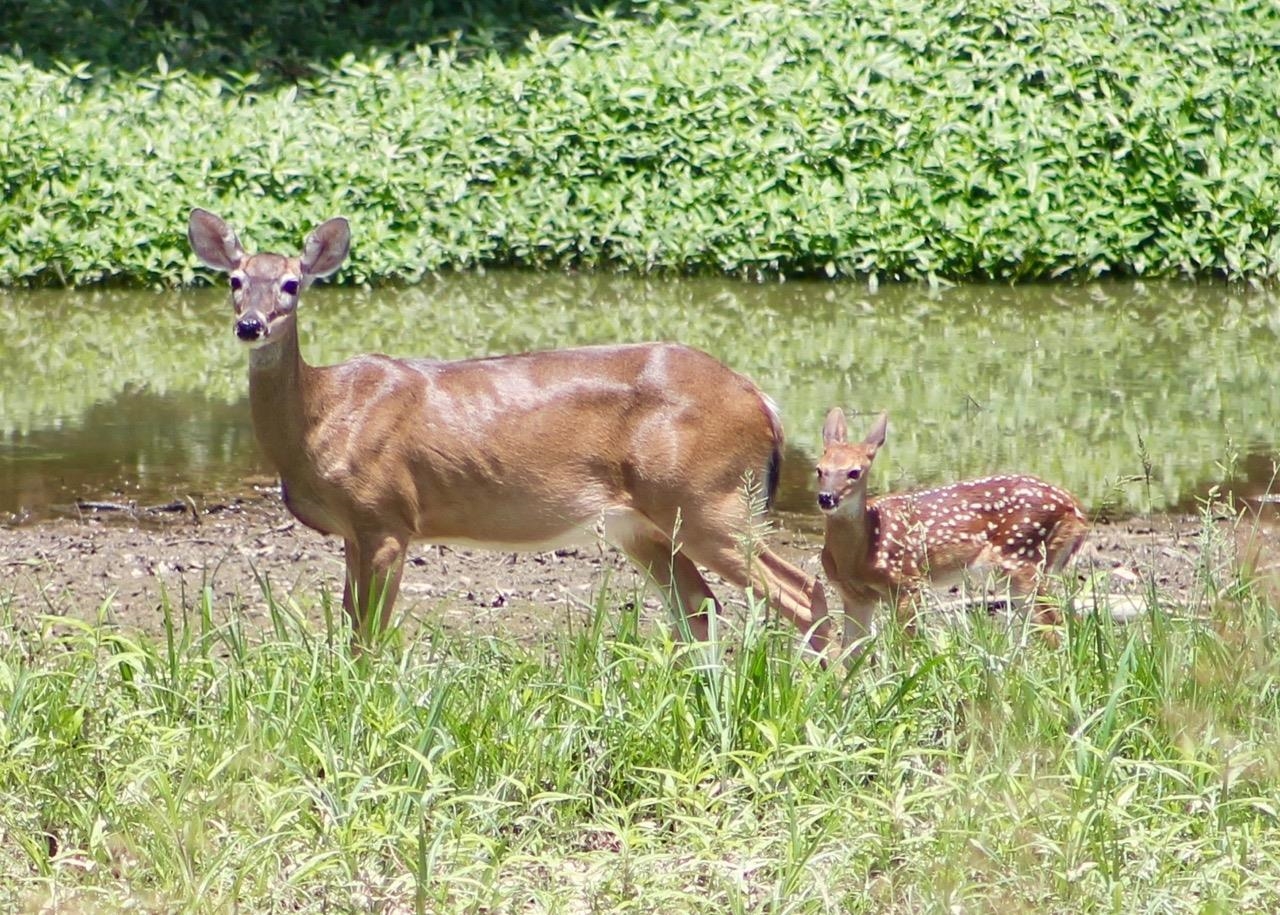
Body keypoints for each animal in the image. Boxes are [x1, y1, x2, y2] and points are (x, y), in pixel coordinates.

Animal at [186, 209, 829, 652]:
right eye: (235, 280)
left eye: (292, 284)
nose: (250, 326)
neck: (323, 419)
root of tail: (762, 401)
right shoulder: (355, 529)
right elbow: (349, 627)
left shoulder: (386, 514)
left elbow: (368, 638)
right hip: (645, 522)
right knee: (701, 608)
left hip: (708, 499)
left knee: (803, 592)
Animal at [814, 406, 1085, 644]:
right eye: (819, 469)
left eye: (854, 472)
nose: (826, 498)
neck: (863, 550)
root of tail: (1077, 509)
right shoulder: (855, 596)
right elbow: (850, 655)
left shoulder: (908, 582)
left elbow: (906, 646)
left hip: (1023, 557)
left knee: (1056, 625)